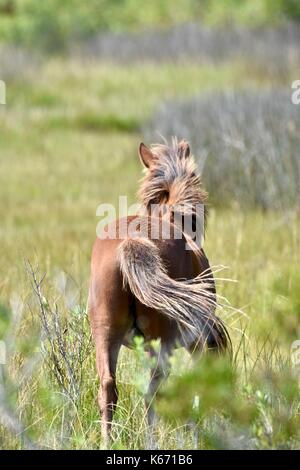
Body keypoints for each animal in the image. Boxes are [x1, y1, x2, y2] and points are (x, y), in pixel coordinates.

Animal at [88, 138, 231, 442]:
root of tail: (132, 242)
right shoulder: (194, 341)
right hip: (160, 342)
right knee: (152, 392)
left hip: (105, 334)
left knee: (108, 388)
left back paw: (108, 441)